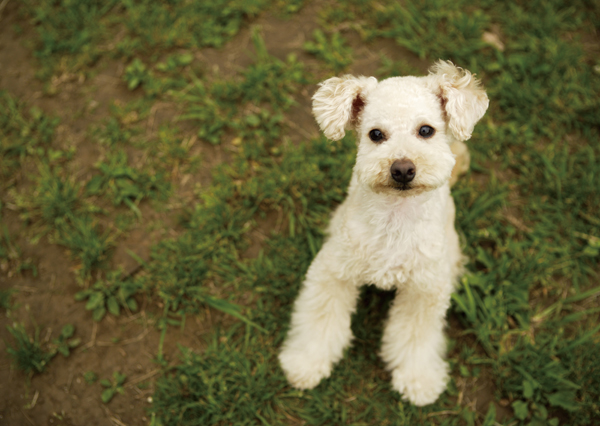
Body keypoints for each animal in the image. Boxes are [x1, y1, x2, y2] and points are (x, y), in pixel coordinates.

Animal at [279, 61, 488, 406]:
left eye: (426, 130)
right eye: (375, 134)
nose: (402, 169)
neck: (395, 220)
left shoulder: (424, 290)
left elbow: (415, 336)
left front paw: (418, 379)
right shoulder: (332, 273)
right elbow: (319, 319)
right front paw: (306, 363)